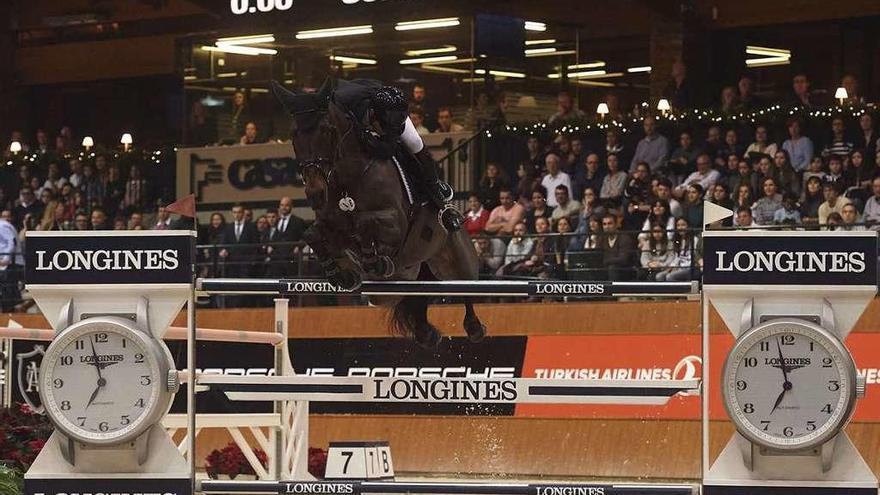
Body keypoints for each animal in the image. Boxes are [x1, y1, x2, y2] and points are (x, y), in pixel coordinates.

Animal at [272, 78, 484, 348]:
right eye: (294, 136)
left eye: (327, 131)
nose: (315, 193)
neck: (347, 179)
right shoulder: (330, 225)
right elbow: (312, 235)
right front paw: (341, 274)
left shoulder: (395, 222)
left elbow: (367, 225)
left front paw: (375, 260)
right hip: (396, 287)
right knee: (418, 297)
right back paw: (426, 333)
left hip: (456, 259)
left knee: (466, 288)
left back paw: (474, 327)